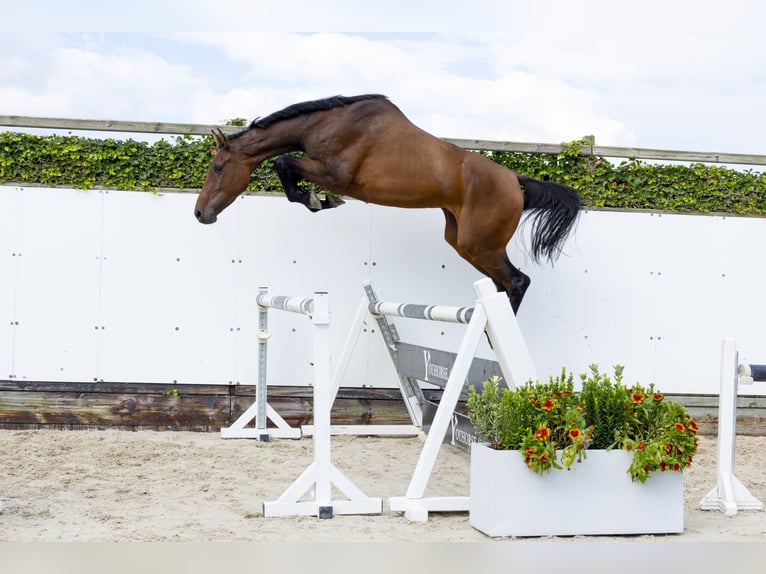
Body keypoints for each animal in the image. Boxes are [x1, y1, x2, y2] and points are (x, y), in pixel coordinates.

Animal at [194, 95, 584, 310]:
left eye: (217, 167)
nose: (200, 213)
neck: (325, 123)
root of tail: (515, 180)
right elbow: (285, 165)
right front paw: (317, 199)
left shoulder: (335, 173)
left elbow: (283, 162)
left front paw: (319, 199)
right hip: (463, 243)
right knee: (505, 284)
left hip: (480, 244)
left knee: (518, 282)